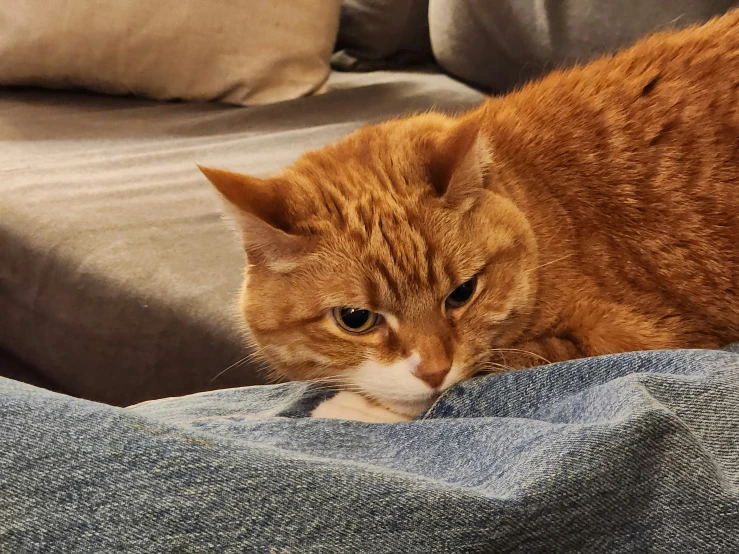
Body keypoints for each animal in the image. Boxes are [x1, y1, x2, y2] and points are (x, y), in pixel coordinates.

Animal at [201, 10, 739, 420]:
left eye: (462, 293)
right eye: (355, 319)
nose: (434, 370)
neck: (543, 206)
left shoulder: (645, 336)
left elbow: (510, 362)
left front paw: (353, 408)